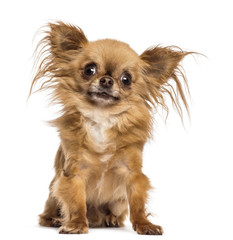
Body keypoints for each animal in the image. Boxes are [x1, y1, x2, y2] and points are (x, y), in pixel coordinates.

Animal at [31, 21, 191, 235]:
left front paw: (145, 225)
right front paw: (76, 224)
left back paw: (110, 220)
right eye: (89, 70)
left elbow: (138, 204)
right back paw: (56, 219)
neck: (102, 117)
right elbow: (76, 203)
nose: (106, 80)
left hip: (118, 202)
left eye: (126, 79)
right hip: (53, 192)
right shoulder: (74, 174)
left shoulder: (132, 174)